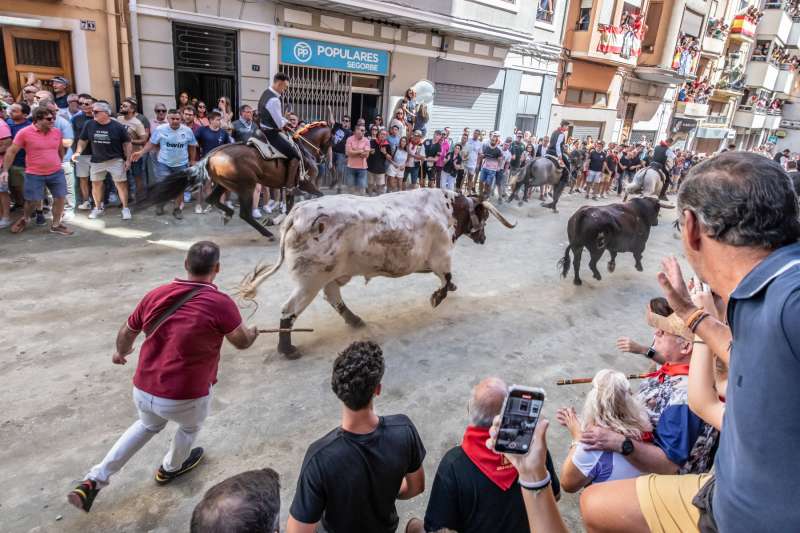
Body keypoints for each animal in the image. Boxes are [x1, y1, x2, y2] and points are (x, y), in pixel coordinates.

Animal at [145, 122, 330, 239]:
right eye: (331, 139)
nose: (324, 157)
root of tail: (211, 155)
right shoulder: (306, 183)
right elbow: (317, 196)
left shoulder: (291, 186)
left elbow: (291, 204)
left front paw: (278, 220)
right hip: (246, 186)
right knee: (245, 214)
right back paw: (266, 233)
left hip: (224, 184)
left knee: (212, 199)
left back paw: (228, 214)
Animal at [238, 187, 516, 358]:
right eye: (484, 217)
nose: (483, 238)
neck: (446, 209)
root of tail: (297, 213)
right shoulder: (442, 258)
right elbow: (446, 281)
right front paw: (436, 298)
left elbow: (449, 282)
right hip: (309, 281)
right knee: (290, 309)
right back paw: (287, 349)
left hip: (327, 275)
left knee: (332, 295)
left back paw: (354, 320)